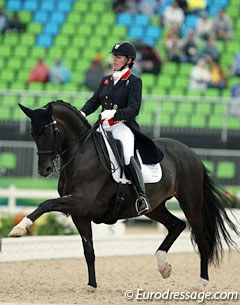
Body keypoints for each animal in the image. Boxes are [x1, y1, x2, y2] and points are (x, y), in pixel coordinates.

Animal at [8, 100, 239, 290]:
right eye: (32, 133)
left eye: (47, 131)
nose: (44, 170)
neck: (80, 154)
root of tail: (192, 154)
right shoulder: (79, 214)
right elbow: (88, 250)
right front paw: (92, 285)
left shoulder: (80, 202)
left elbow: (46, 203)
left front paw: (19, 228)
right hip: (155, 207)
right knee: (177, 225)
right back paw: (163, 266)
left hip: (190, 202)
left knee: (201, 237)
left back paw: (201, 282)